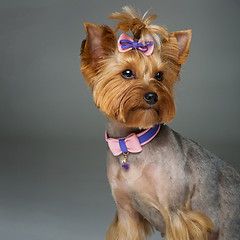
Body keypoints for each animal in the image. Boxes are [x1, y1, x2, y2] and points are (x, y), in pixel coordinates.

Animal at [79, 6, 239, 239]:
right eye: (127, 73)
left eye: (160, 75)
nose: (152, 96)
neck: (132, 144)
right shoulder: (126, 214)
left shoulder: (177, 216)